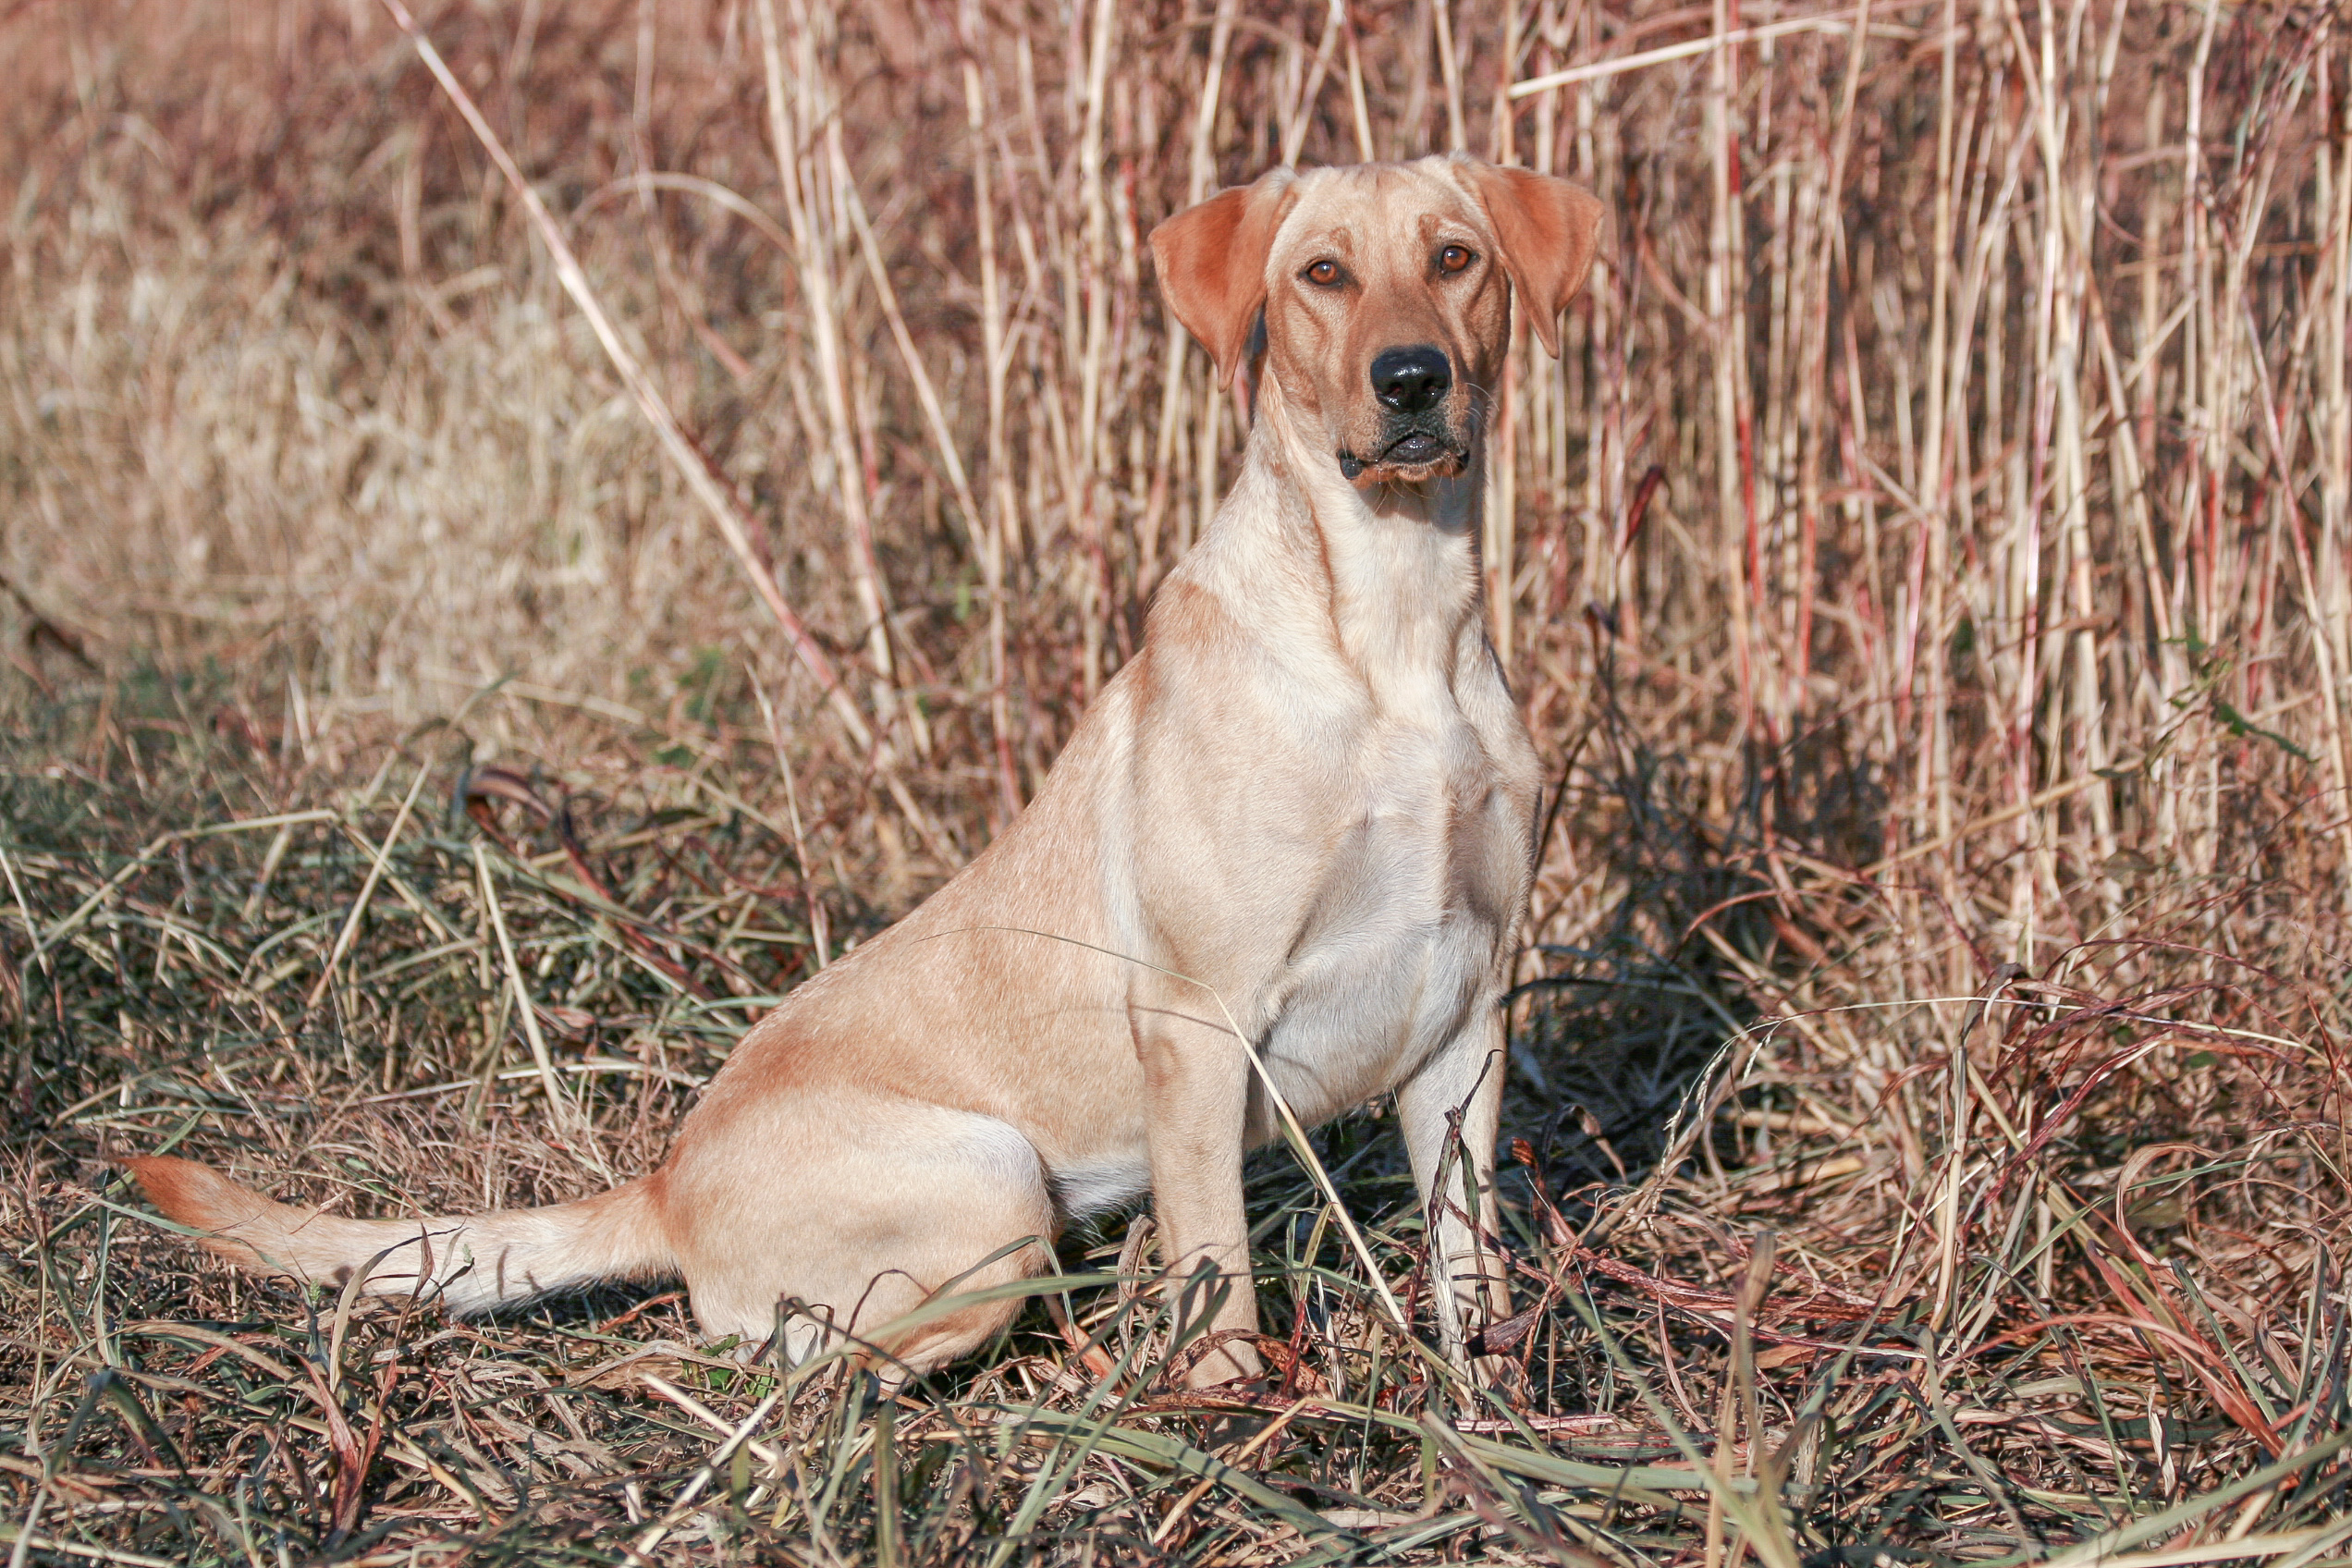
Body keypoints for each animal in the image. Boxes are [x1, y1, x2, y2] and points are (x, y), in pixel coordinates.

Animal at [124, 156, 1599, 1382]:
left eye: (1455, 258)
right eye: (1322, 274)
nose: (1411, 381)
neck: (1395, 632)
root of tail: (663, 1183)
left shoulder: (1464, 1013)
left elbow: (1468, 1263)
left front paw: (1495, 1414)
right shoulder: (1195, 1024)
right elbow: (1220, 1276)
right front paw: (1234, 1417)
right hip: (993, 1180)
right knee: (799, 1360)